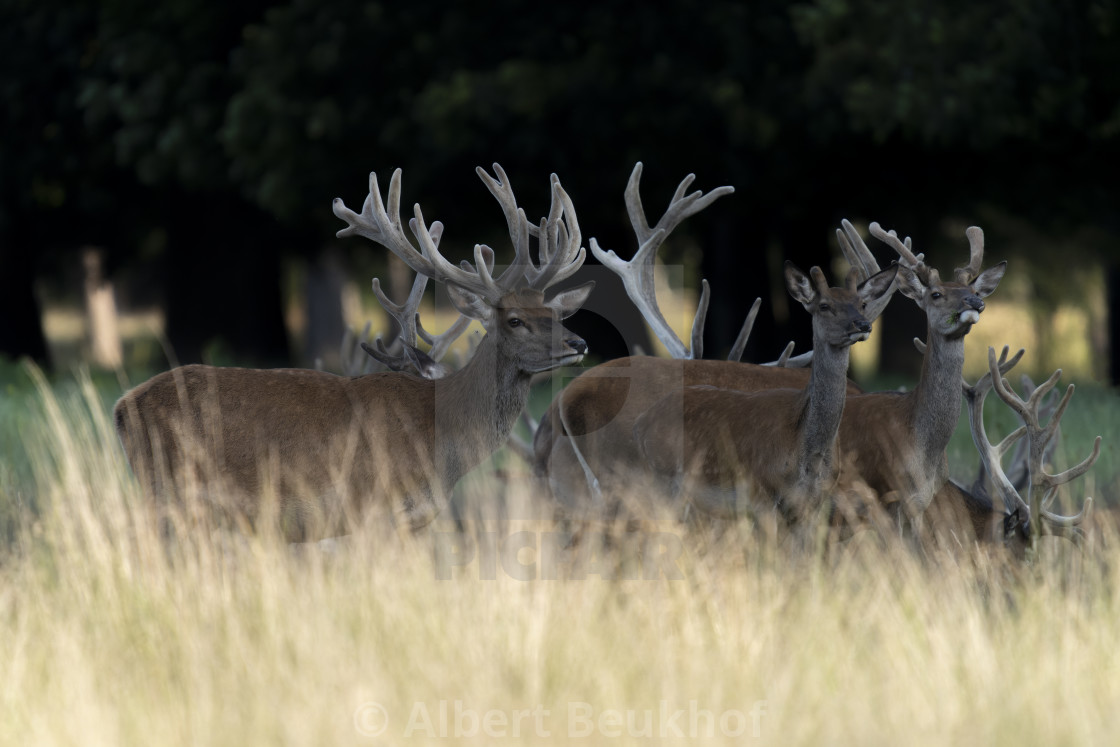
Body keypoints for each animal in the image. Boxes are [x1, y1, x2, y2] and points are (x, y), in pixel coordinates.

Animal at [115, 164, 595, 537]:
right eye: (514, 320)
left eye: (554, 312)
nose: (580, 342)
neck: (442, 442)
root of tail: (121, 408)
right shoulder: (370, 508)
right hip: (170, 493)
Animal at [636, 263, 896, 526]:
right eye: (824, 305)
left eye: (862, 303)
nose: (862, 325)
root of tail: (642, 421)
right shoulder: (759, 493)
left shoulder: (813, 504)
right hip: (658, 482)